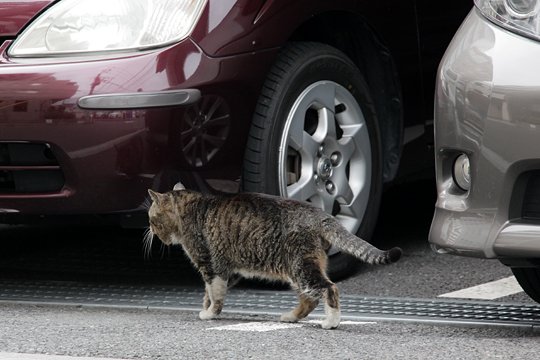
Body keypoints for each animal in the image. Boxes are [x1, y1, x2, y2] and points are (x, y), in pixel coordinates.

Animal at [144, 183, 400, 330]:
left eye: (151, 218)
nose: (149, 229)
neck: (192, 207)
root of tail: (320, 214)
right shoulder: (228, 270)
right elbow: (210, 293)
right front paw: (207, 308)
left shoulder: (209, 264)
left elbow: (214, 294)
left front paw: (209, 314)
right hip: (298, 269)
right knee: (309, 299)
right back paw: (290, 317)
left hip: (300, 266)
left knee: (329, 289)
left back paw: (331, 322)